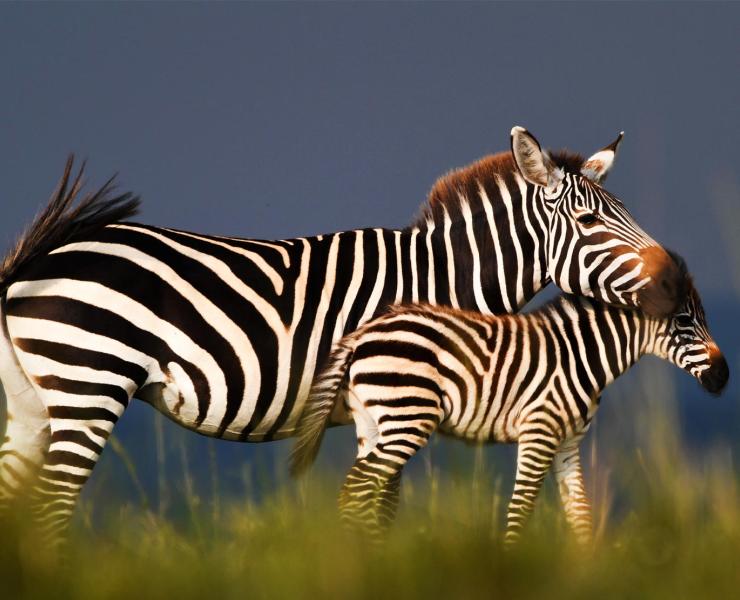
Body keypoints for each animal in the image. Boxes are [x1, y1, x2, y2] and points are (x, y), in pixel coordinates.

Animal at [289, 263, 728, 544]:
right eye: (684, 322)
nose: (724, 376)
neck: (581, 354)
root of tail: (361, 336)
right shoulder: (539, 431)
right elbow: (521, 510)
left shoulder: (568, 443)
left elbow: (581, 516)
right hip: (407, 418)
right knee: (358, 488)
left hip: (373, 422)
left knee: (357, 492)